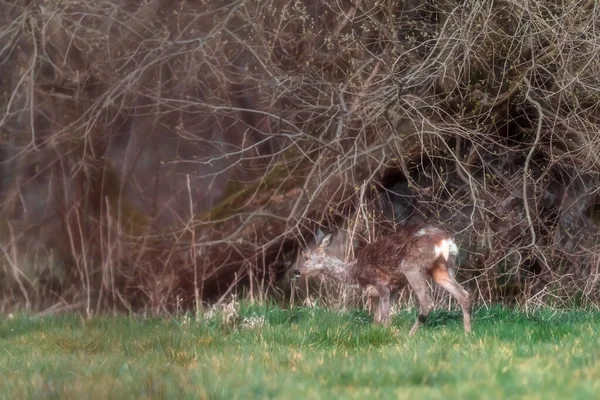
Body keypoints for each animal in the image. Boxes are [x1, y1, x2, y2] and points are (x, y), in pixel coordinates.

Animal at [296, 223, 474, 336]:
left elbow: (385, 317)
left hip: (412, 267)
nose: (296, 271)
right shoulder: (394, 288)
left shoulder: (381, 283)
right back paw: (467, 333)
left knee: (427, 303)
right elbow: (377, 318)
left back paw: (409, 336)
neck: (355, 272)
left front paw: (387, 335)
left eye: (306, 257)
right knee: (463, 294)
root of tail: (446, 241)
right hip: (442, 269)